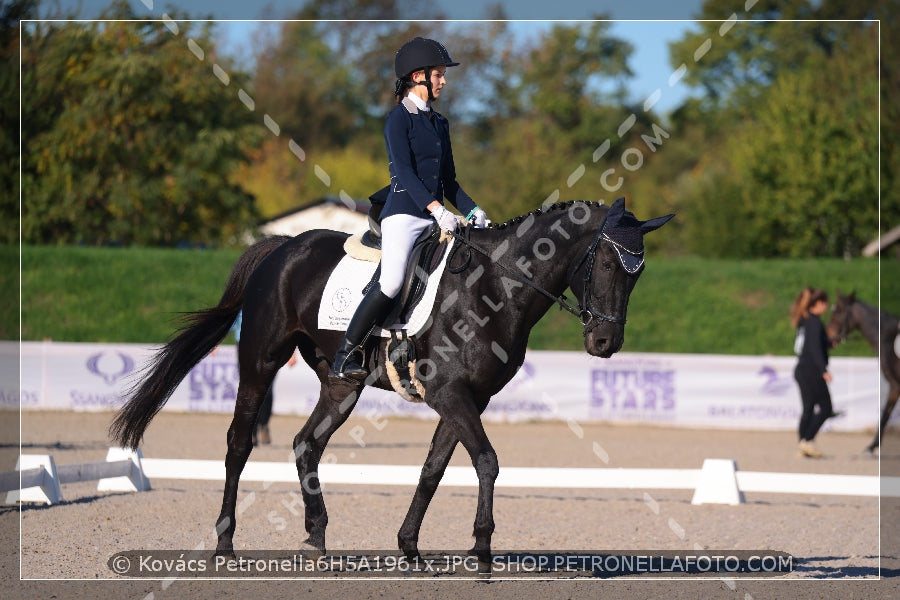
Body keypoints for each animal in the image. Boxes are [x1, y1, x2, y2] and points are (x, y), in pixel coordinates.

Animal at [110, 198, 668, 568]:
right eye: (605, 261)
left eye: (638, 274)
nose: (604, 343)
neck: (495, 285)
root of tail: (283, 247)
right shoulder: (450, 394)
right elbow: (487, 461)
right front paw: (481, 547)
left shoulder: (468, 398)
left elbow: (433, 470)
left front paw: (410, 547)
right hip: (261, 361)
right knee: (239, 443)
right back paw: (225, 543)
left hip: (342, 384)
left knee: (306, 444)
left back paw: (316, 538)